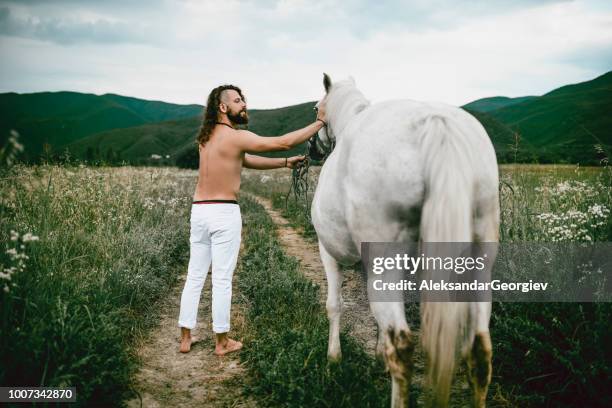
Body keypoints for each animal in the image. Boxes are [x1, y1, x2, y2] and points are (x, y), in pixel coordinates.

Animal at [314, 75, 500, 406]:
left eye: (315, 109)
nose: (312, 148)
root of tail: (434, 122)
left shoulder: (329, 253)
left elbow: (334, 305)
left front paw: (333, 359)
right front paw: (376, 355)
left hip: (387, 265)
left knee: (402, 348)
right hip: (478, 268)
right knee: (480, 351)